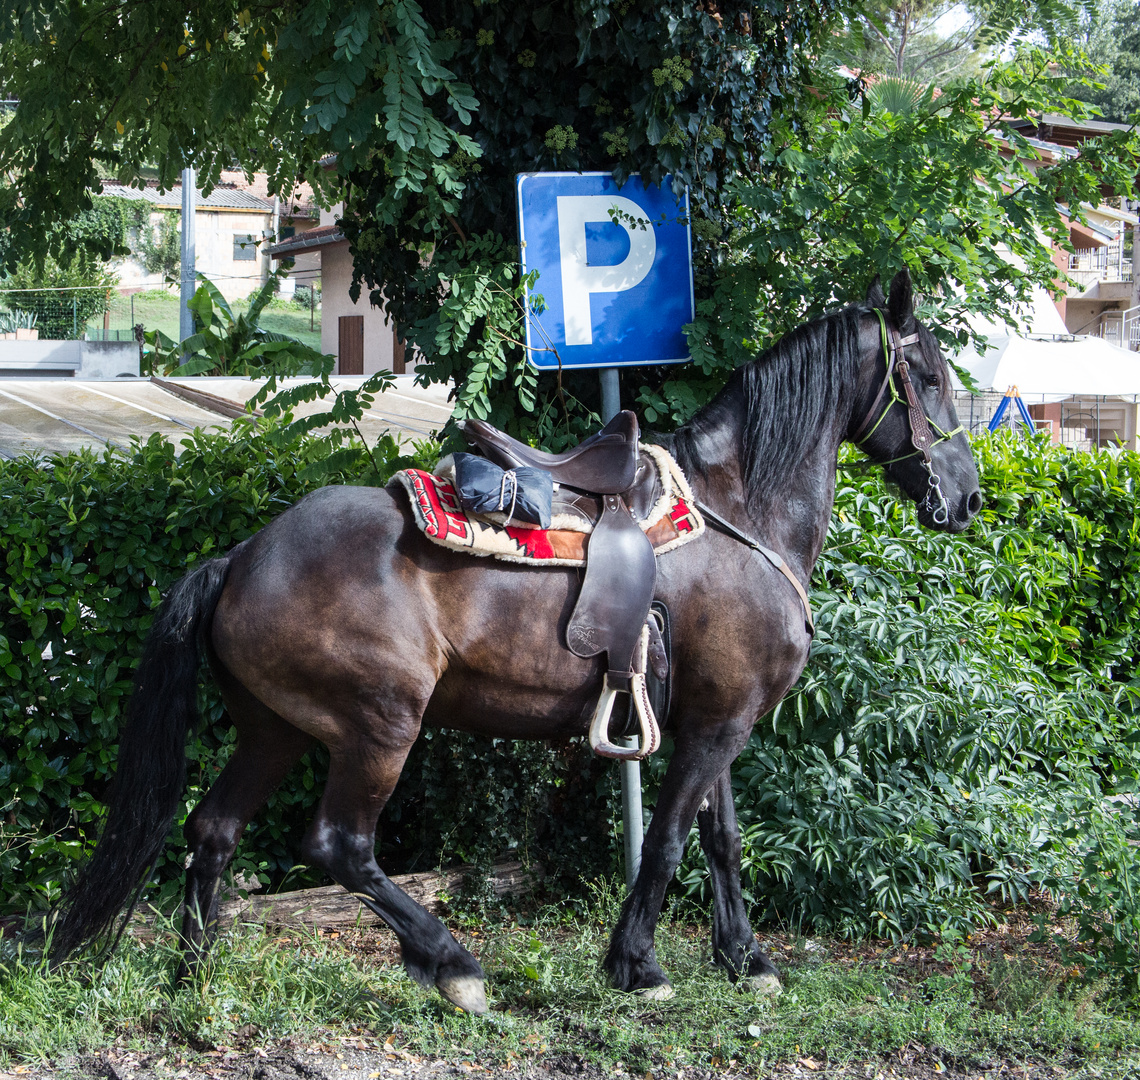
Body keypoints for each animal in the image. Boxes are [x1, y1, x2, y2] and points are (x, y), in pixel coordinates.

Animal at [49, 270, 980, 1012]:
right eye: (930, 374)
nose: (968, 497)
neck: (739, 512)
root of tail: (242, 556)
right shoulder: (719, 726)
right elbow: (670, 840)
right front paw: (638, 965)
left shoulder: (719, 720)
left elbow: (721, 841)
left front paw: (745, 959)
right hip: (377, 728)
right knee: (339, 846)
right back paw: (453, 964)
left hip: (274, 730)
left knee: (213, 831)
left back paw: (193, 980)